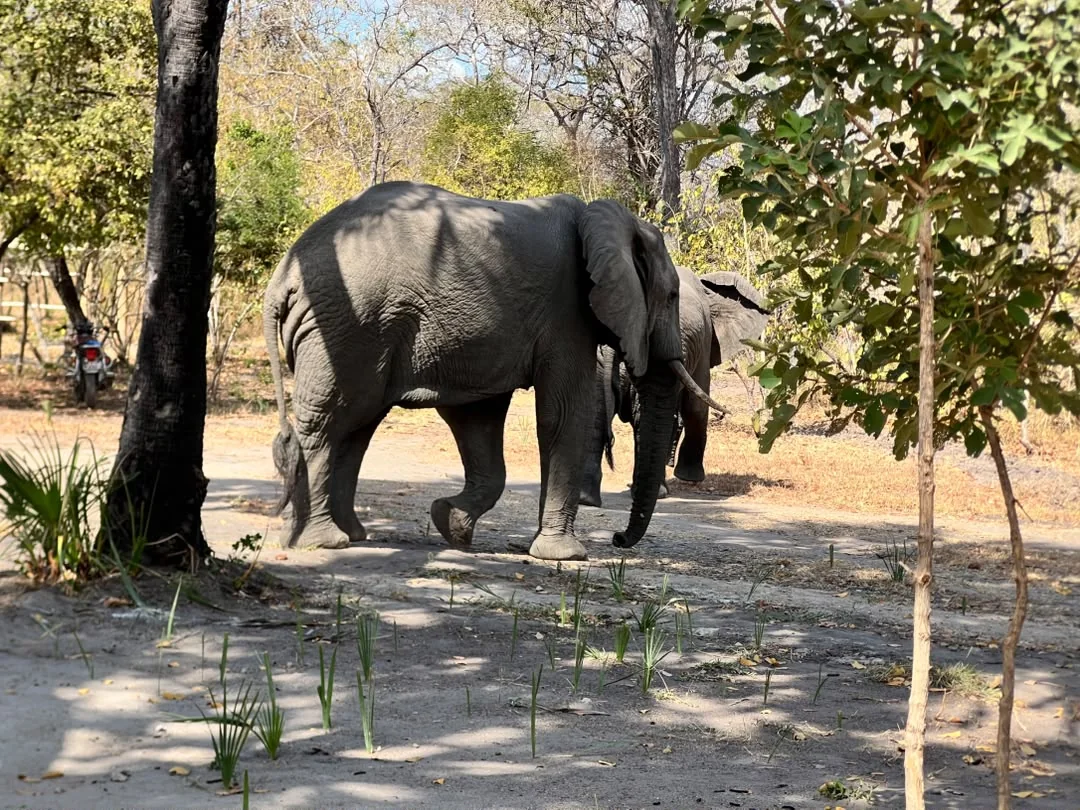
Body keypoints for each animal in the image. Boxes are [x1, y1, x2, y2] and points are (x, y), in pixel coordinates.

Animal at [263, 181, 725, 561]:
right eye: (671, 295)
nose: (617, 539)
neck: (613, 220)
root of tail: (282, 278)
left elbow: (478, 420)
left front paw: (450, 524)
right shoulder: (567, 315)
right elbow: (563, 415)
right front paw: (565, 555)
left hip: (357, 329)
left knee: (357, 422)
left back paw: (349, 535)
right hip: (350, 325)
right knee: (333, 418)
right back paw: (322, 541)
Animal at [580, 267, 770, 516]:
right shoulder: (704, 342)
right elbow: (696, 408)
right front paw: (690, 478)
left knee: (599, 410)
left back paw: (587, 498)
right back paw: (656, 492)